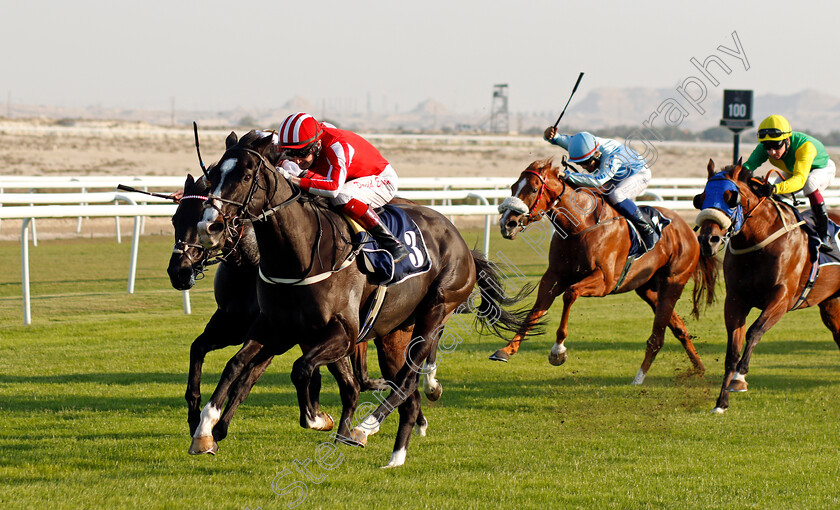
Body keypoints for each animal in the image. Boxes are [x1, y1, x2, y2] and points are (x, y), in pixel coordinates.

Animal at [190, 130, 524, 466]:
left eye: (246, 176)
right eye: (214, 175)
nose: (209, 226)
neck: (300, 253)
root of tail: (460, 242)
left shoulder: (343, 333)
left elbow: (302, 370)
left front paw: (317, 418)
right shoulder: (275, 328)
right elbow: (235, 365)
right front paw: (204, 430)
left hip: (436, 311)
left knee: (405, 381)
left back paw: (367, 427)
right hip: (395, 333)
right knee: (406, 388)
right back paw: (396, 455)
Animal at [488, 158, 712, 382]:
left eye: (534, 189)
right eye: (513, 187)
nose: (507, 224)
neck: (579, 226)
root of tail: (689, 231)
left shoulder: (605, 281)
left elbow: (570, 294)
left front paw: (558, 350)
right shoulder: (553, 277)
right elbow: (535, 310)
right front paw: (506, 350)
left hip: (672, 283)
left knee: (657, 336)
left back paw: (638, 379)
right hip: (648, 289)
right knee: (678, 327)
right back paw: (699, 368)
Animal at [692, 160, 840, 414]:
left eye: (731, 197)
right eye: (700, 198)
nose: (708, 240)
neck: (758, 242)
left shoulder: (781, 297)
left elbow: (754, 331)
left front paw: (739, 379)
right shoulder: (735, 301)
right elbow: (732, 350)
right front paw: (721, 403)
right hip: (832, 304)